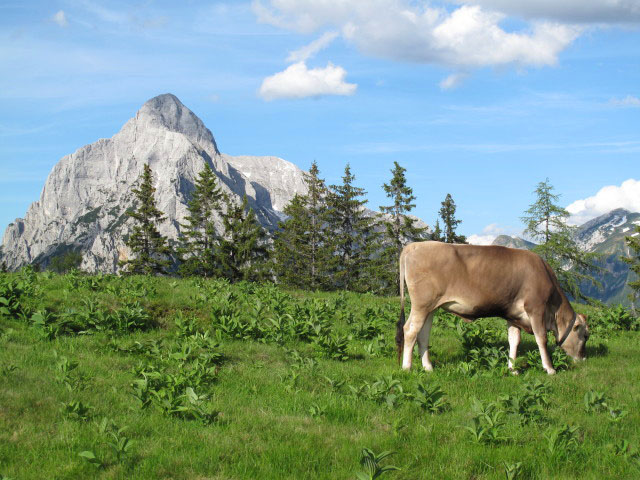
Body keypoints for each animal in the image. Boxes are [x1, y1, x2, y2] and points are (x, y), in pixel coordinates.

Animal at [396, 242, 592, 374]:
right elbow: (541, 339)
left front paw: (513, 369)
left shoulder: (514, 315)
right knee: (410, 330)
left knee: (423, 334)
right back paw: (407, 367)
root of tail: (414, 245)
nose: (583, 358)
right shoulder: (536, 308)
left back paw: (428, 367)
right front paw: (550, 368)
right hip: (421, 305)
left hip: (431, 307)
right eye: (585, 336)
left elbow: (514, 340)